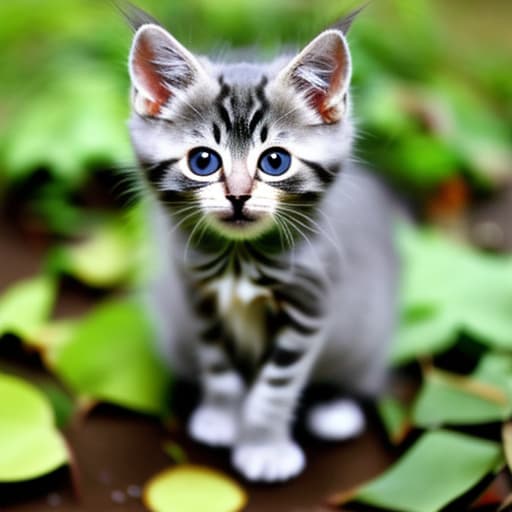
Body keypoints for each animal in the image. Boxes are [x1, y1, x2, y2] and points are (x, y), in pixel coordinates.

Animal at [126, 6, 398, 482]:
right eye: (203, 161)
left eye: (274, 161)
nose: (238, 196)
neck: (239, 260)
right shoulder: (196, 295)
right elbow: (218, 366)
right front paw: (220, 417)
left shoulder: (311, 302)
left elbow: (275, 389)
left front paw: (263, 448)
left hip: (369, 329)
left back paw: (337, 408)